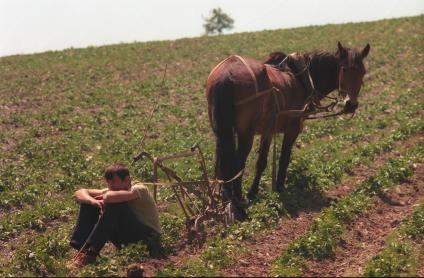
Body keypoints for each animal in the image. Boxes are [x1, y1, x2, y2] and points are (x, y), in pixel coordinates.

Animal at [207, 41, 370, 217]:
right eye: (344, 69)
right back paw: (239, 204)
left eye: (363, 72)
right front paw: (279, 187)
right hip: (246, 134)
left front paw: (253, 192)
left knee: (223, 163)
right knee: (238, 163)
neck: (302, 79)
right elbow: (284, 158)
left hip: (221, 131)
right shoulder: (292, 129)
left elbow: (261, 162)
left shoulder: (268, 130)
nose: (351, 104)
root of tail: (226, 75)